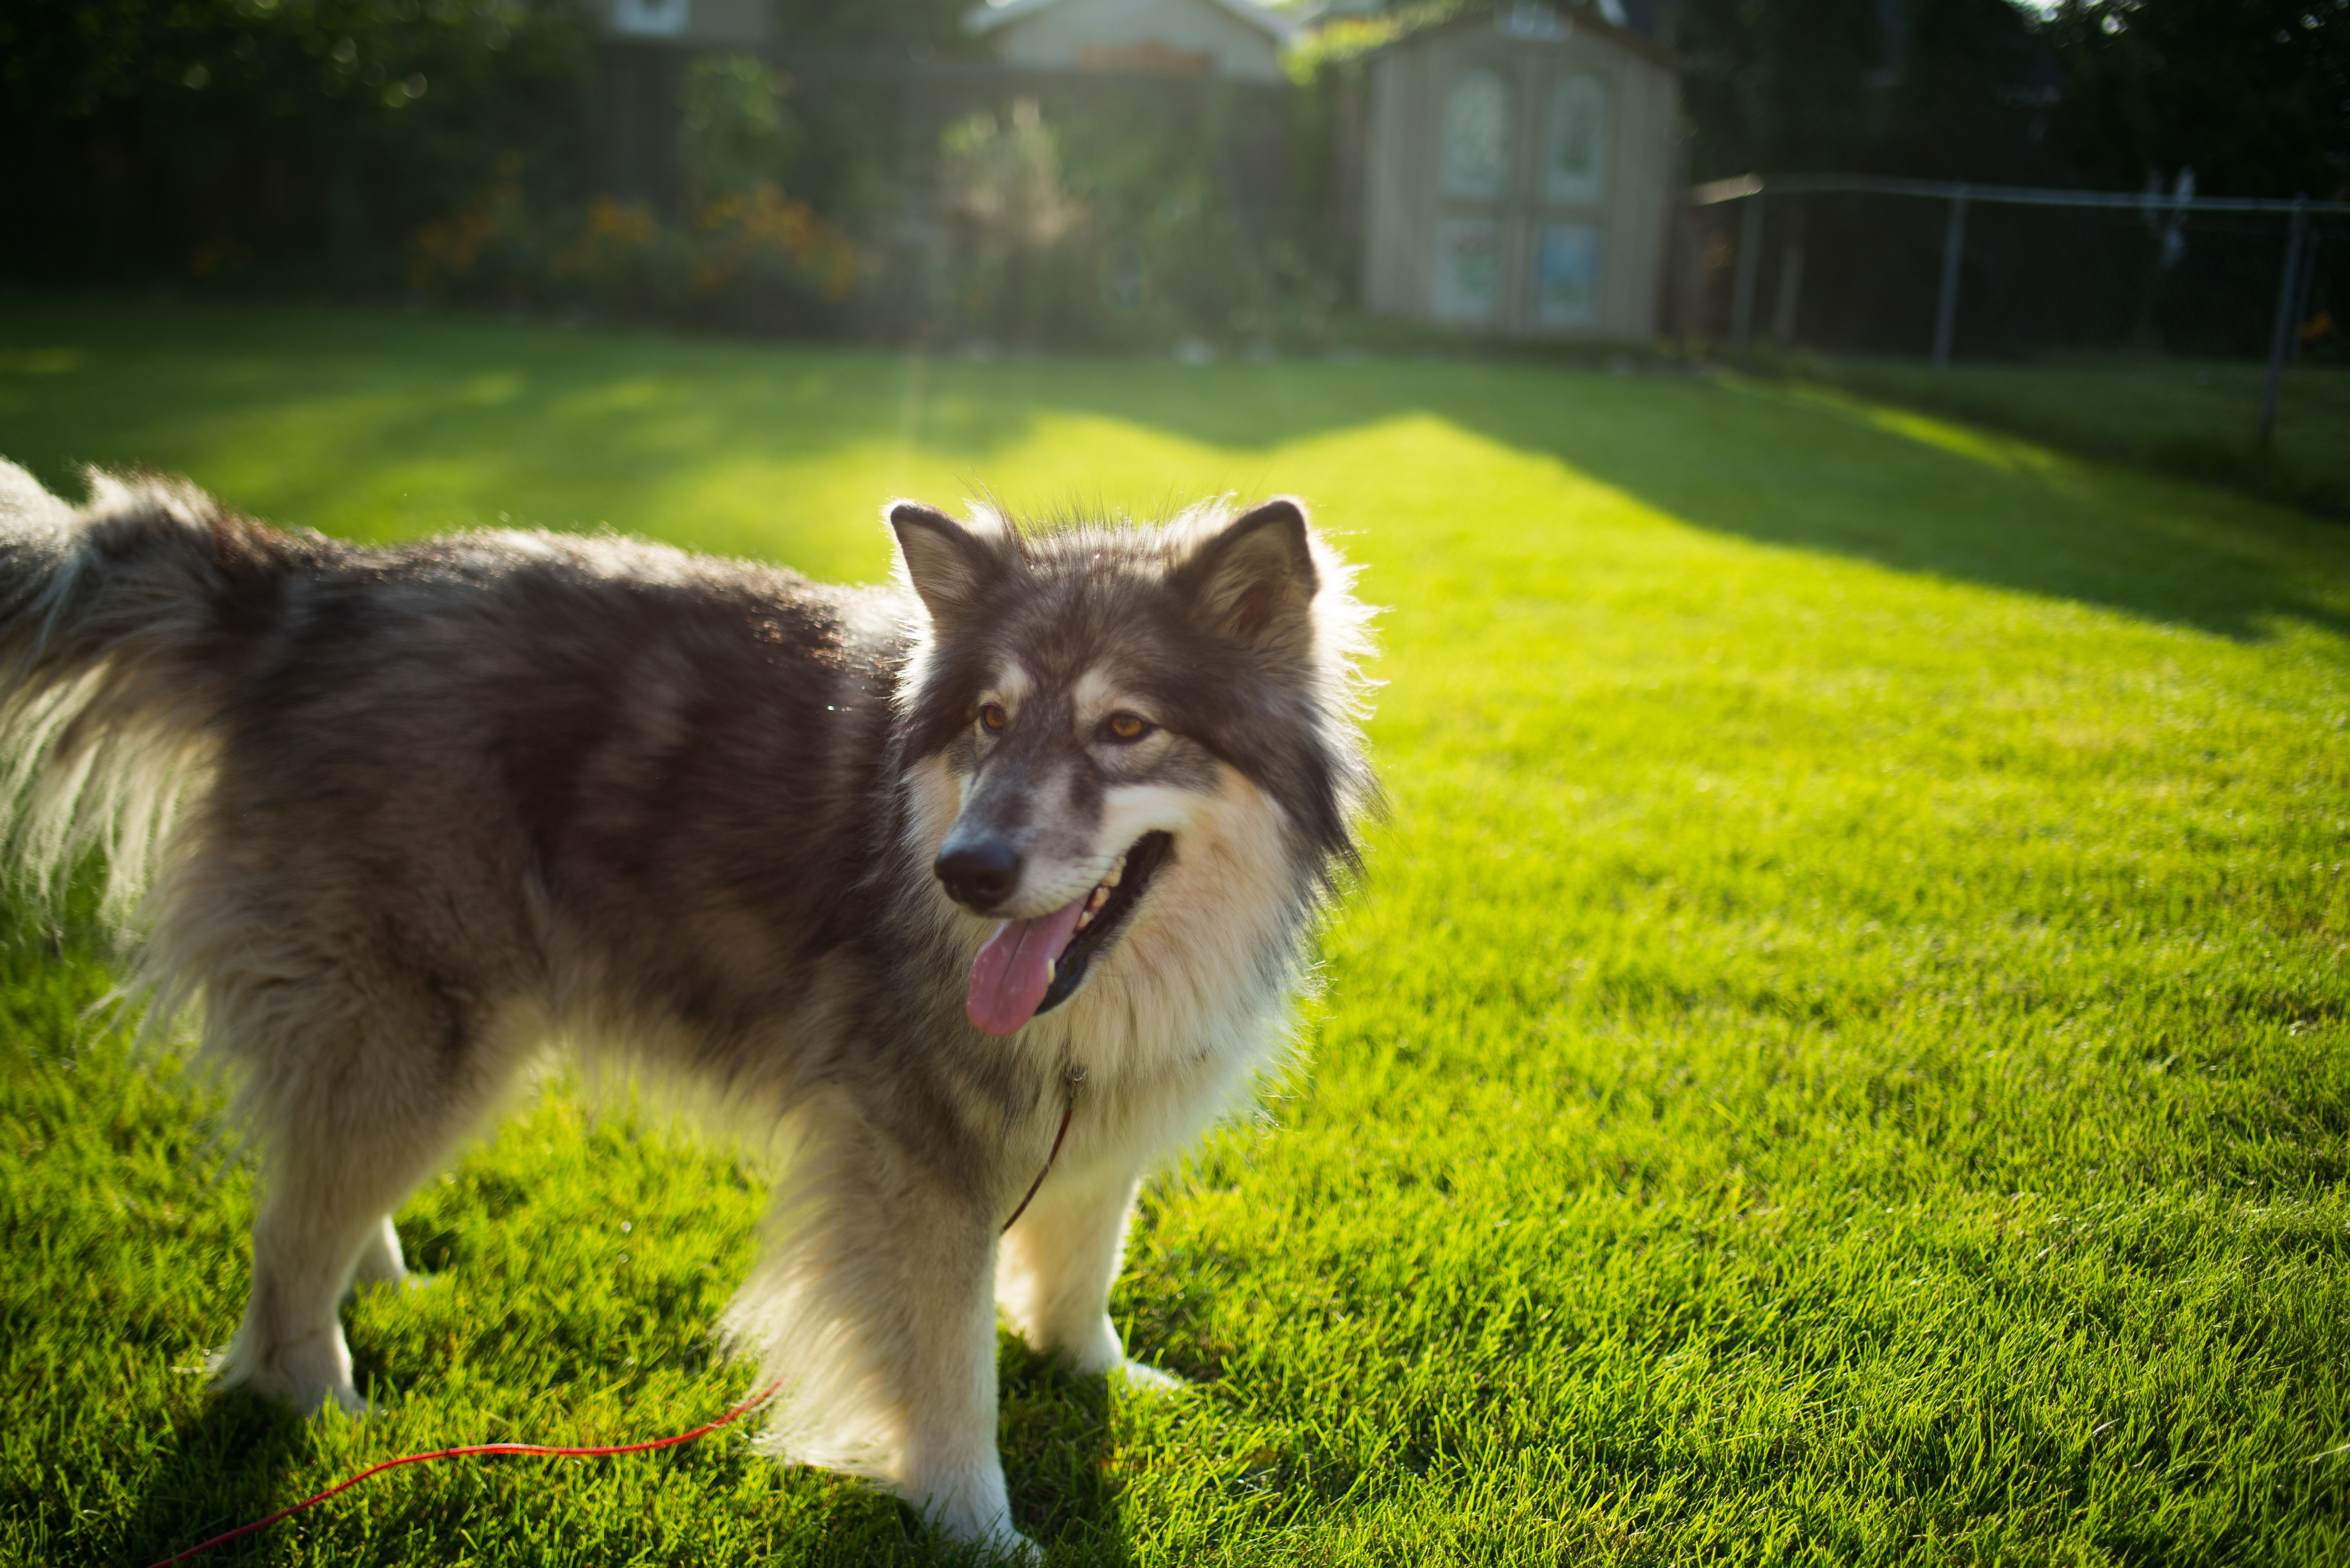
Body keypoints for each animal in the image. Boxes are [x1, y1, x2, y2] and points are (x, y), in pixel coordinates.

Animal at [0, 461, 1372, 1551]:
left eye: (1125, 728)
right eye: (990, 719)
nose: (967, 871)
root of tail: (310, 590)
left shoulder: (1087, 1120)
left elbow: (1082, 1268)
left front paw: (1103, 1375)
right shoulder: (912, 1165)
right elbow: (951, 1376)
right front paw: (978, 1529)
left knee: (317, 1181)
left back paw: (380, 1277)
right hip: (424, 1025)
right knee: (288, 1251)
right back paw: (327, 1416)